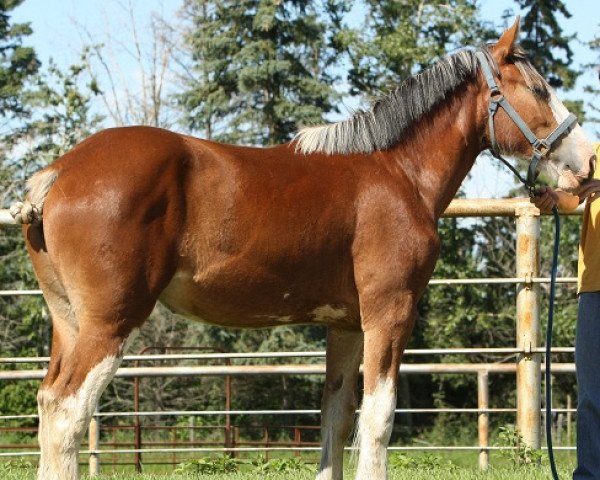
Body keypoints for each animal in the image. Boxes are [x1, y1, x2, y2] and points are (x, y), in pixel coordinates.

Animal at [8, 18, 596, 480]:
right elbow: (378, 420)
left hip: (69, 323)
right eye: (539, 89)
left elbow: (336, 421)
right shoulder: (389, 312)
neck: (397, 173)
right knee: (67, 413)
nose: (584, 160)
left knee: (48, 405)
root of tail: (56, 174)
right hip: (111, 322)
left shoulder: (346, 325)